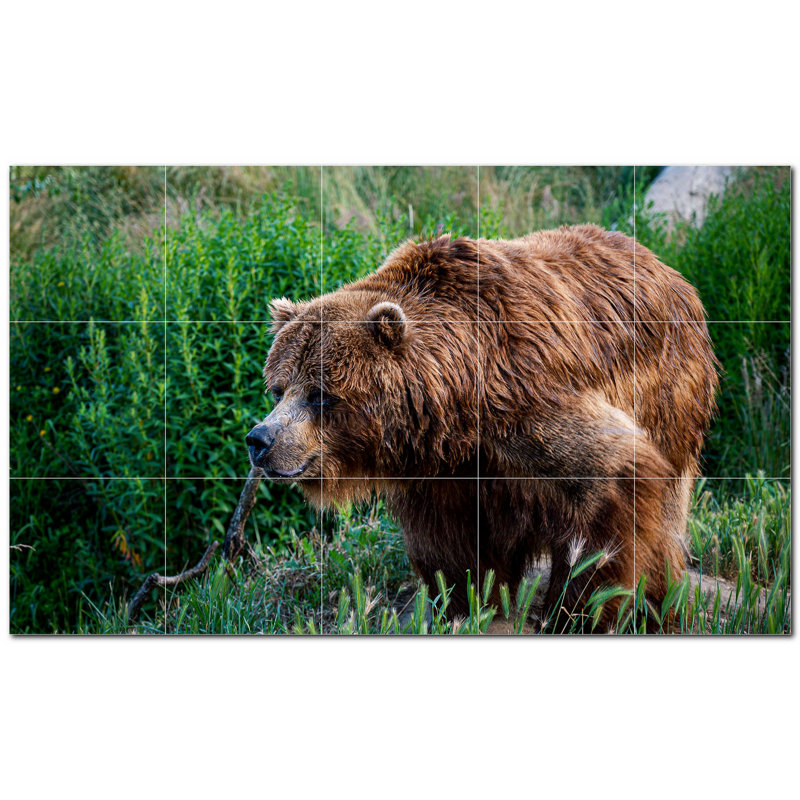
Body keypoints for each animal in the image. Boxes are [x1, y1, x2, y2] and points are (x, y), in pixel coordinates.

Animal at [247, 225, 719, 631]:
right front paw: (464, 606)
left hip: (669, 394)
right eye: (278, 388)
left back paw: (657, 606)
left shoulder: (525, 401)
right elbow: (450, 547)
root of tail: (671, 271)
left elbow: (610, 481)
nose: (260, 439)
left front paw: (572, 613)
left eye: (320, 394)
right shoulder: (444, 471)